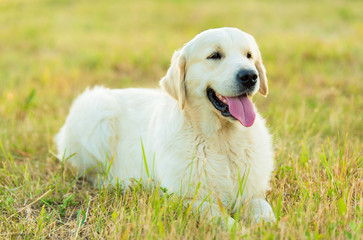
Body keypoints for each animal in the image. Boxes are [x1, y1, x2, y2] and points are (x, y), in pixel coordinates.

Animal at [55, 27, 276, 227]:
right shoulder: (186, 199)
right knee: (88, 173)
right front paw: (240, 230)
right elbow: (222, 219)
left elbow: (266, 213)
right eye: (214, 55)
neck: (222, 139)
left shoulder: (252, 194)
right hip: (98, 111)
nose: (250, 76)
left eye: (249, 55)